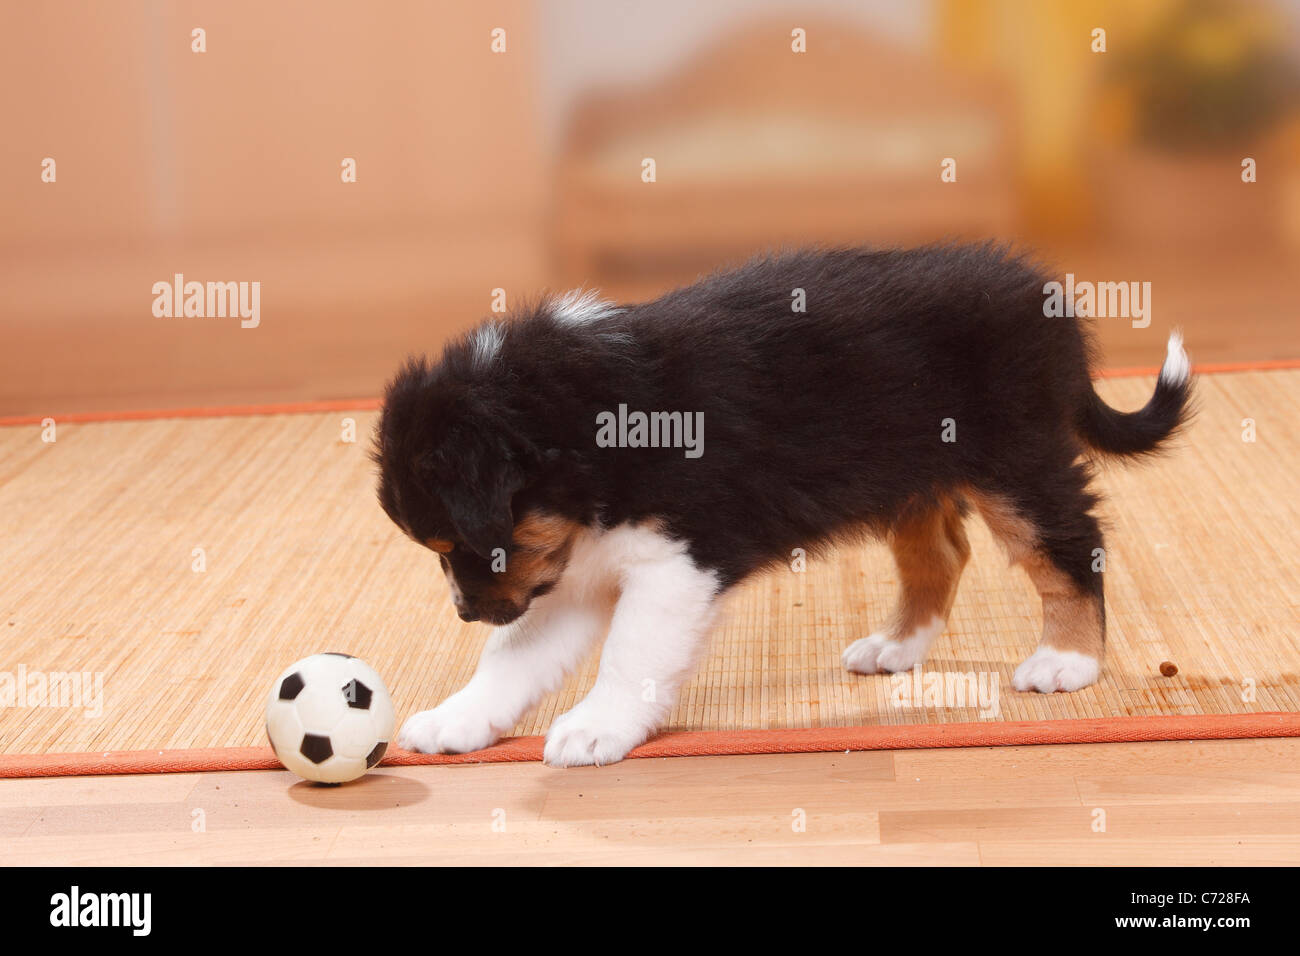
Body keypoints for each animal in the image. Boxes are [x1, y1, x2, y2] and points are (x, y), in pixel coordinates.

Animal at [371, 247, 1190, 770]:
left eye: (461, 545)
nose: (465, 613)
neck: (585, 420)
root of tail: (1048, 301)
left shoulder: (676, 563)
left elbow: (630, 653)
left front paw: (596, 730)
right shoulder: (573, 571)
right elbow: (512, 658)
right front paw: (456, 720)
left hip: (1015, 456)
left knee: (1071, 539)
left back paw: (1065, 661)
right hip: (909, 470)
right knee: (943, 553)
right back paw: (897, 647)